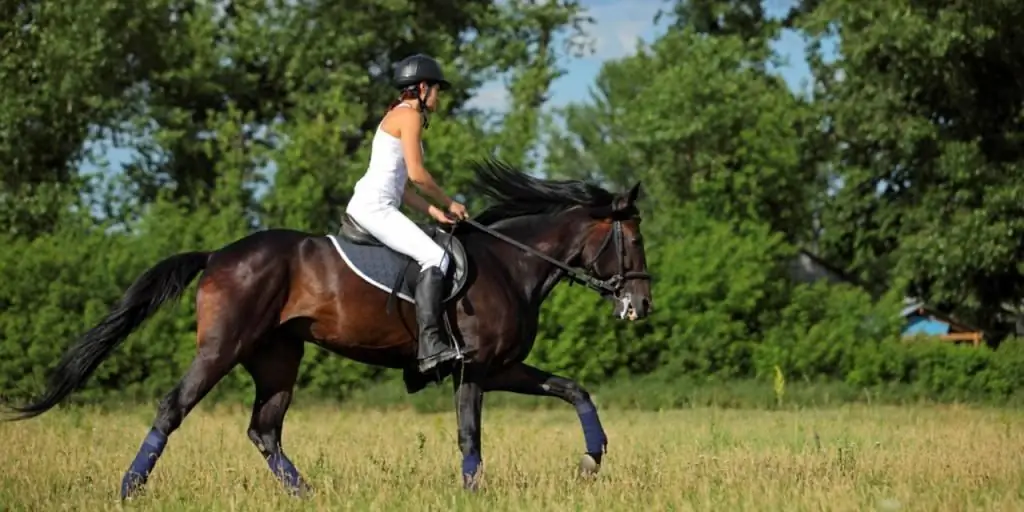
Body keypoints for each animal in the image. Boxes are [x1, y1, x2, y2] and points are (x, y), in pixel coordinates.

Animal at [2, 157, 655, 497]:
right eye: (634, 238)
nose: (641, 305)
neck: (510, 264)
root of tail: (217, 255)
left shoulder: (501, 367)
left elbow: (573, 389)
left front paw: (591, 459)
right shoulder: (473, 369)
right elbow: (471, 436)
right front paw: (474, 494)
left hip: (276, 357)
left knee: (265, 430)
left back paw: (307, 495)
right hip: (221, 349)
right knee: (174, 408)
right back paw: (129, 488)